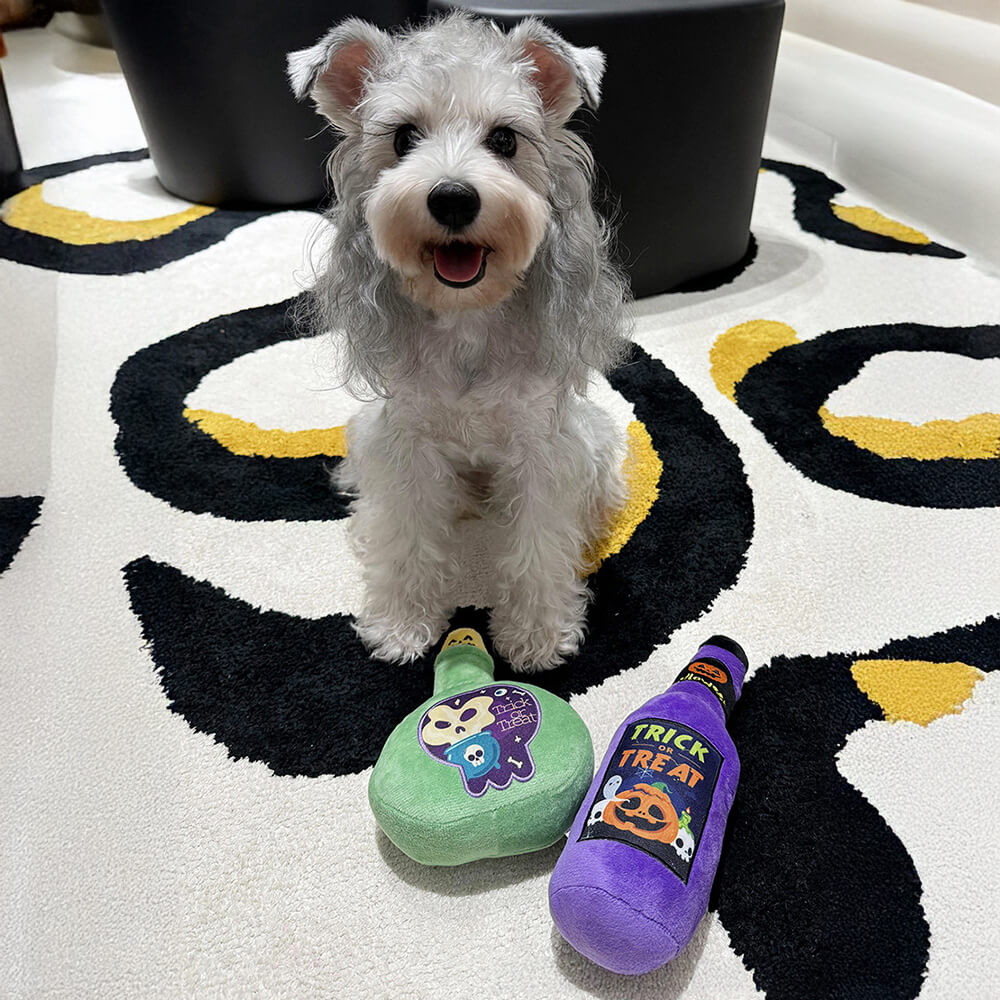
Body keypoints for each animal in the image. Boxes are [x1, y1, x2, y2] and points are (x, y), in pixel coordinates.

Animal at [290, 11, 628, 672]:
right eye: (402, 138)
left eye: (505, 139)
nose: (451, 198)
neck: (468, 317)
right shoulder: (406, 444)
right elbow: (406, 537)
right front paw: (401, 625)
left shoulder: (543, 449)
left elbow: (538, 545)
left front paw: (536, 634)